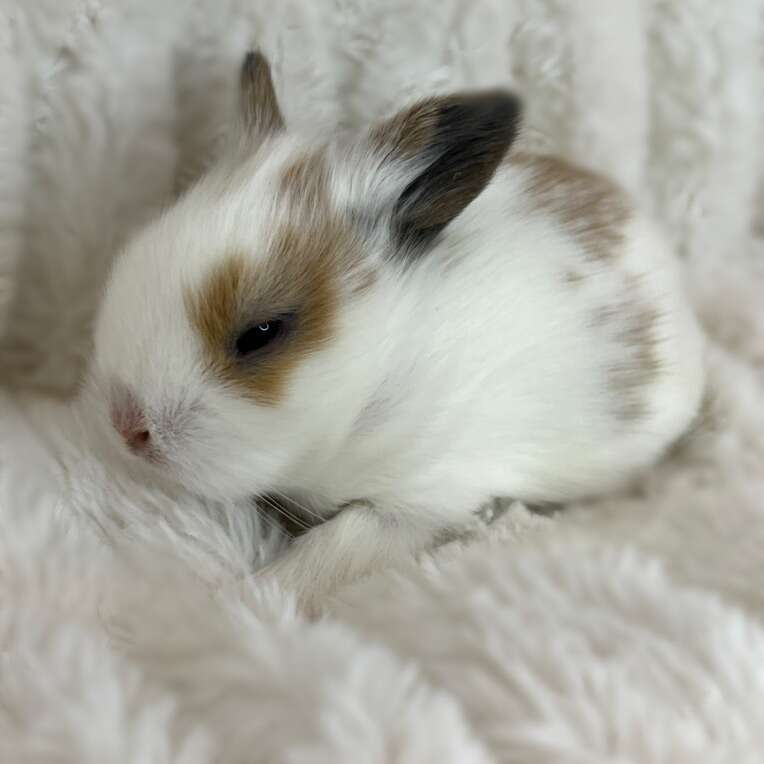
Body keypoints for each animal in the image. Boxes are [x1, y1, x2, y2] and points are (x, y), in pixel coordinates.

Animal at [83, 50, 704, 616]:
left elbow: (332, 550)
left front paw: (244, 600)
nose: (126, 426)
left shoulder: (417, 500)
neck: (380, 369)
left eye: (261, 332)